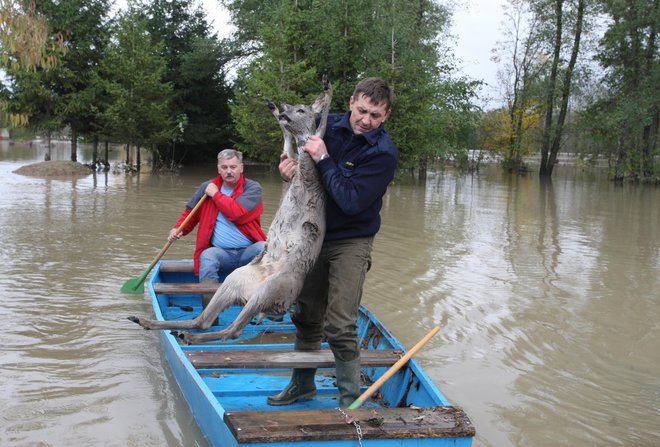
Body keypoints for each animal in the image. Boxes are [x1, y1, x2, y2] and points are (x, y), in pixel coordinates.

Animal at [130, 77, 332, 344]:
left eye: (301, 110)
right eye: (290, 107)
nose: (285, 113)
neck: (301, 179)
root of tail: (277, 306)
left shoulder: (309, 165)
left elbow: (320, 129)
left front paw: (328, 90)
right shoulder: (290, 170)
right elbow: (287, 146)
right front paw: (272, 107)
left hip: (270, 288)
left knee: (231, 329)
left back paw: (185, 335)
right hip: (235, 279)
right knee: (204, 320)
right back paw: (152, 323)